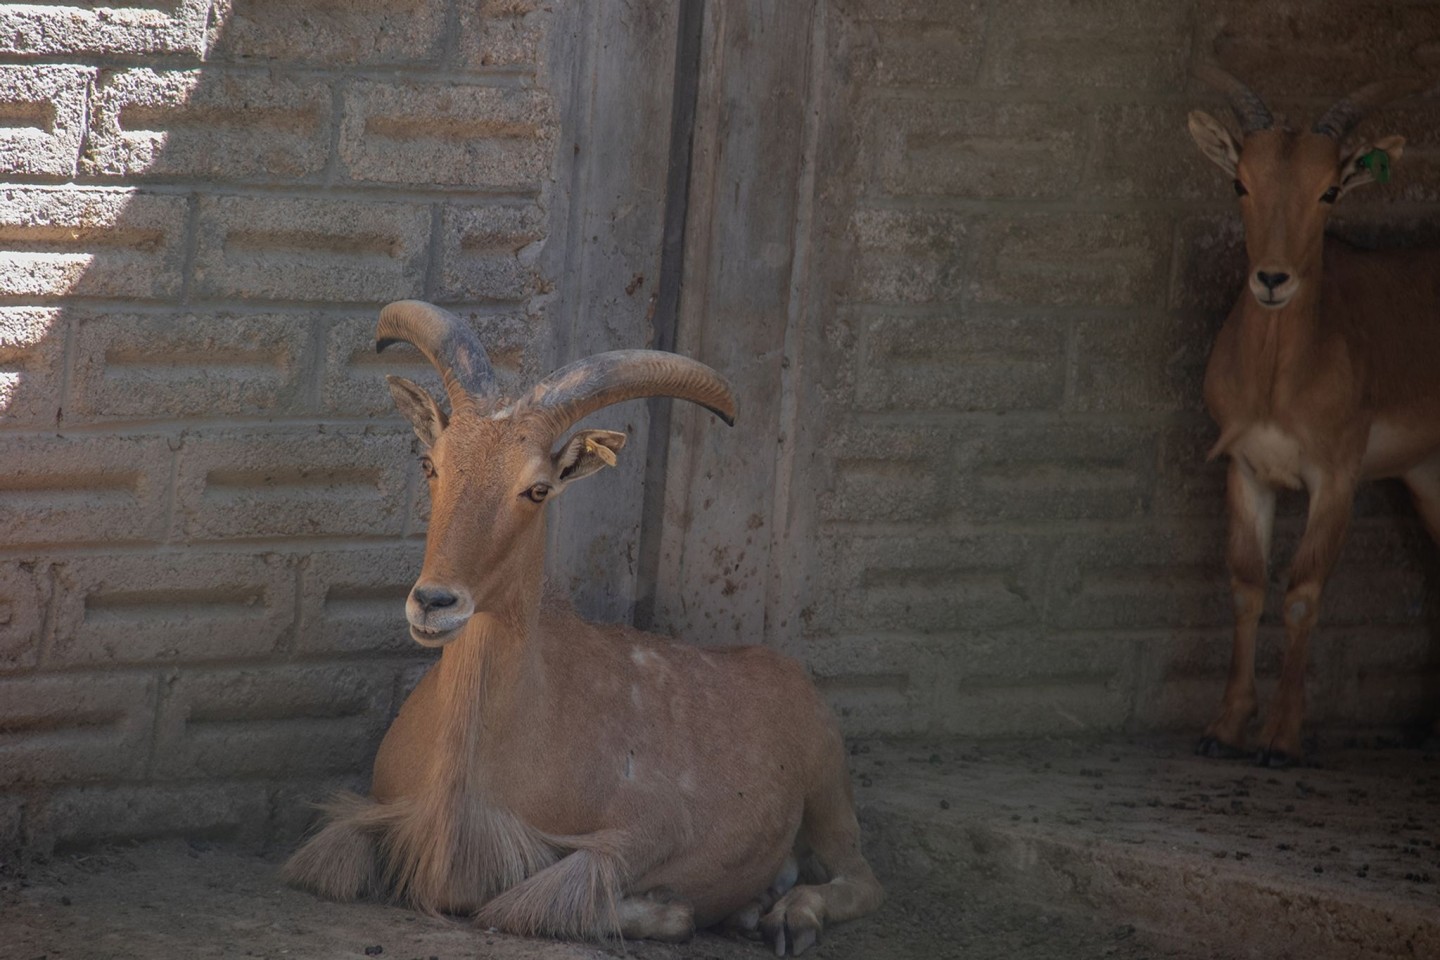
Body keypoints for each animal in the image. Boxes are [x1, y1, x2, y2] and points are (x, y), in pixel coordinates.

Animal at [282, 300, 881, 955]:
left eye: (537, 488)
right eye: (430, 463)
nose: (434, 603)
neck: (469, 774)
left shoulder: (645, 831)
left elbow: (532, 903)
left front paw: (675, 910)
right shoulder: (371, 815)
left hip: (827, 785)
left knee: (860, 876)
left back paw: (787, 916)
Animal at [1186, 67, 1440, 765]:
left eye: (1329, 190)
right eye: (1240, 181)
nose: (1273, 279)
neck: (1279, 384)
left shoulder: (1336, 477)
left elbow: (1301, 593)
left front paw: (1281, 738)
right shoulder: (1247, 467)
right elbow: (1247, 582)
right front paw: (1223, 728)